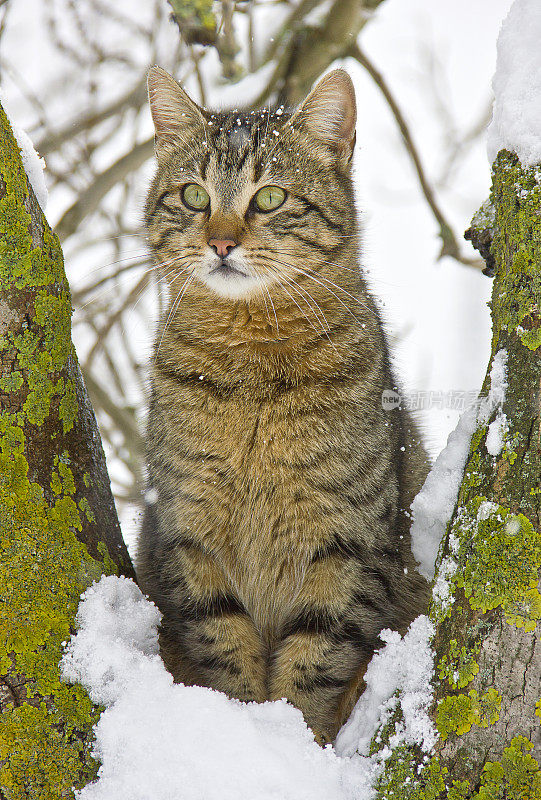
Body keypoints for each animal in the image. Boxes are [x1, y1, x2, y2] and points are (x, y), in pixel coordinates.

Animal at [137, 65, 428, 748]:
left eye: (268, 198)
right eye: (194, 196)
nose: (220, 242)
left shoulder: (348, 541)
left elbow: (315, 663)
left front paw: (294, 745)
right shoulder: (191, 533)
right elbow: (224, 649)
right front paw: (247, 733)